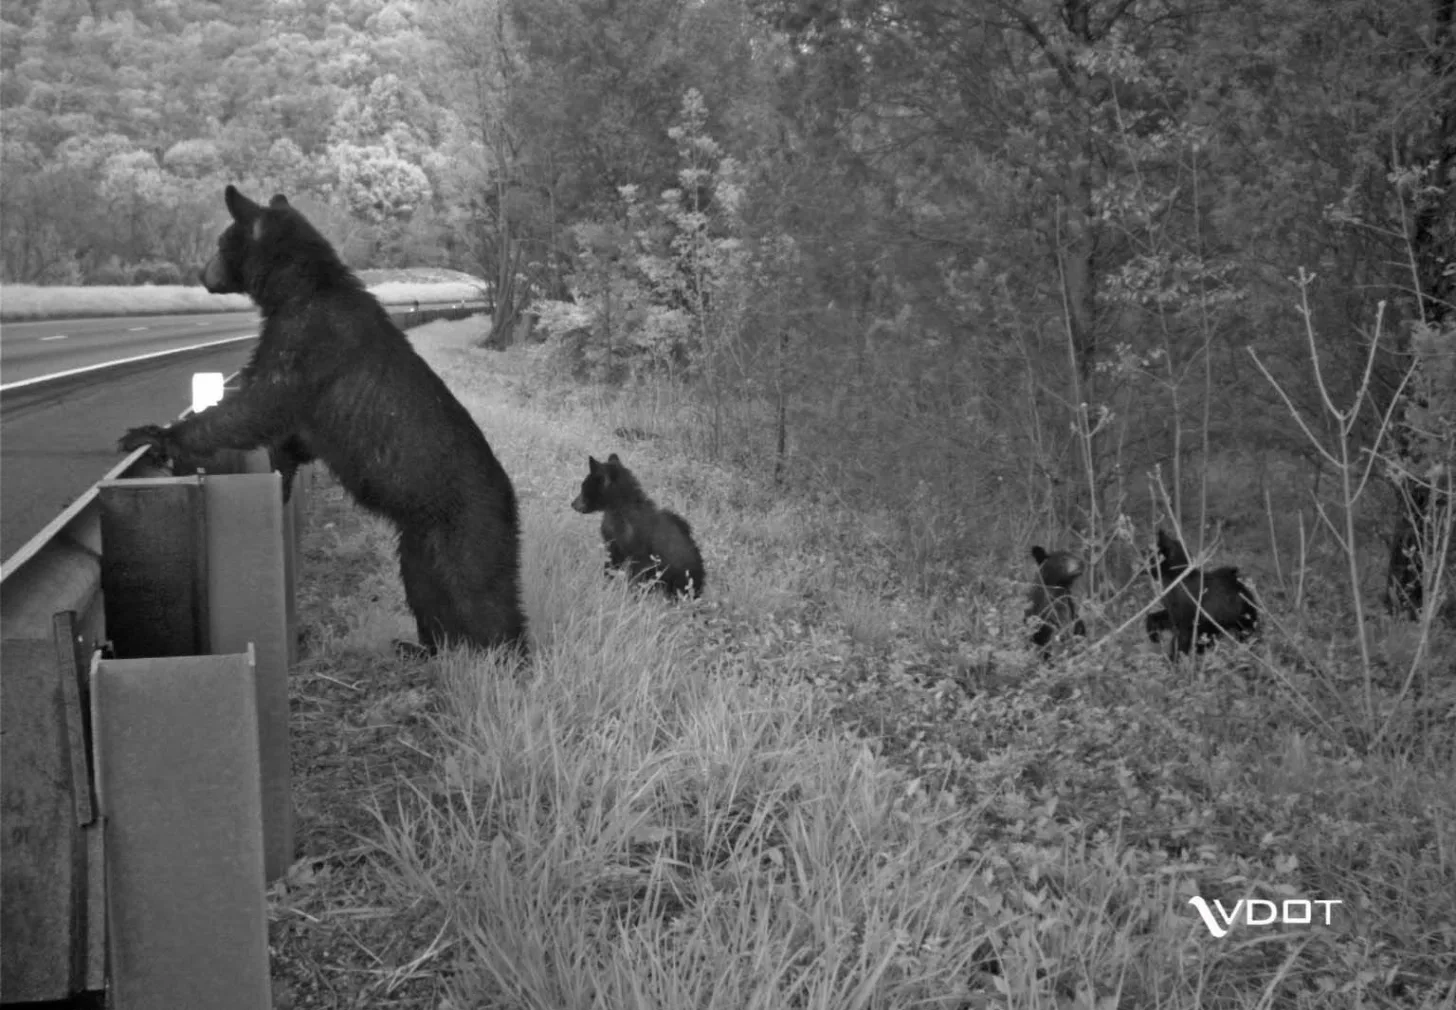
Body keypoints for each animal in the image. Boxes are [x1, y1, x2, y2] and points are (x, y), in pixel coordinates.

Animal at [120, 185, 526, 657]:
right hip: (419, 537)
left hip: (467, 528)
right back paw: (424, 647)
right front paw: (281, 477)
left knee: (479, 595)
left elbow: (256, 405)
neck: (299, 289)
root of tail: (511, 499)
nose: (203, 274)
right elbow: (290, 437)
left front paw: (154, 435)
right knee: (424, 586)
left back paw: (505, 656)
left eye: (221, 243)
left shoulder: (305, 342)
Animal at [570, 453, 705, 599]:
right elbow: (610, 566)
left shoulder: (640, 551)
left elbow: (637, 576)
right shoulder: (613, 544)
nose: (573, 504)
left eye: (584, 486)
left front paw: (631, 595)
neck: (618, 511)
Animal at [1148, 529, 1259, 658]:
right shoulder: (1174, 614)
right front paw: (1153, 635)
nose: (1139, 565)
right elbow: (1152, 617)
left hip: (1242, 623)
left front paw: (1174, 659)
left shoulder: (1186, 621)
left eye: (1150, 555)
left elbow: (1180, 644)